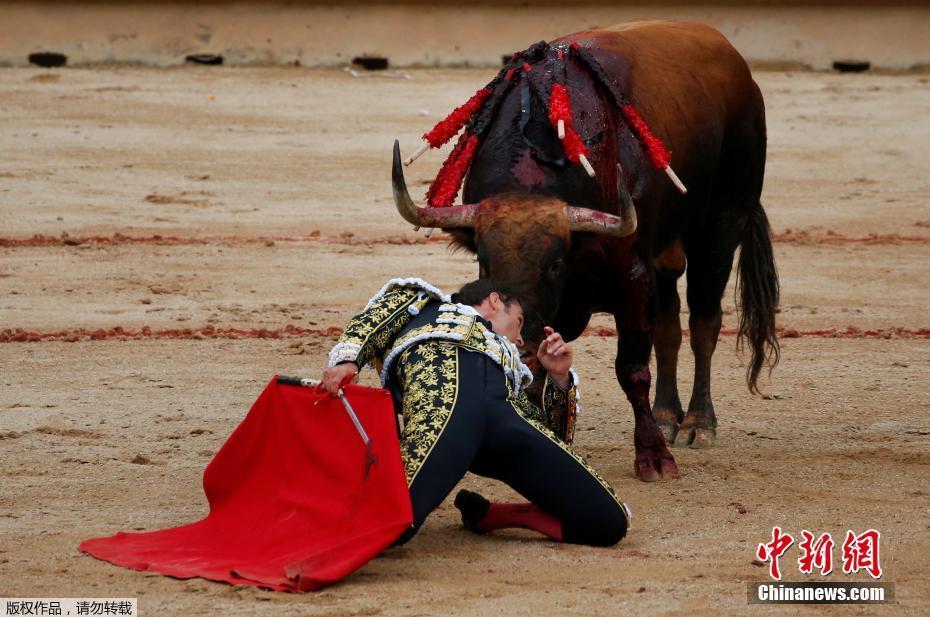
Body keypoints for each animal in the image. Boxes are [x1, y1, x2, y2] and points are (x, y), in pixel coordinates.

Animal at [388, 20, 780, 482]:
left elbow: (632, 370)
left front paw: (653, 457)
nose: (516, 340)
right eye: (484, 260)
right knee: (669, 325)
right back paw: (668, 416)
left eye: (556, 265)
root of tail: (738, 66)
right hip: (667, 252)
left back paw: (698, 423)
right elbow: (542, 372)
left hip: (722, 225)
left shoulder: (632, 279)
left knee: (704, 321)